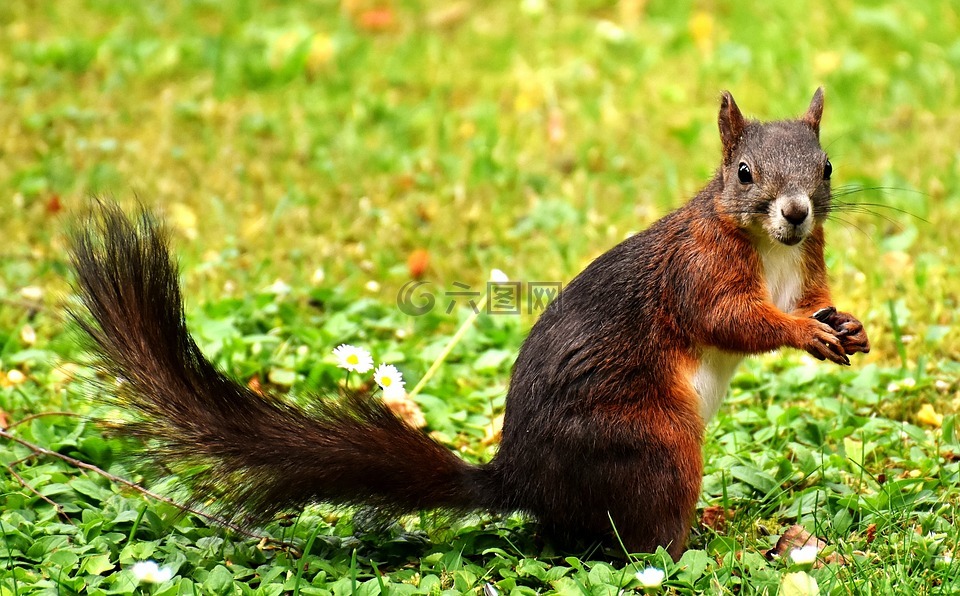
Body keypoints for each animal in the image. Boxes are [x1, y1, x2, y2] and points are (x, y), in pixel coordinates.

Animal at [71, 87, 872, 560]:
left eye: (827, 166)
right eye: (743, 173)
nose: (796, 212)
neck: (770, 247)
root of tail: (521, 481)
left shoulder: (806, 270)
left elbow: (812, 299)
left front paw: (851, 329)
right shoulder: (697, 273)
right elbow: (732, 320)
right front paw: (803, 335)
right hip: (653, 440)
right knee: (638, 543)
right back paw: (708, 541)